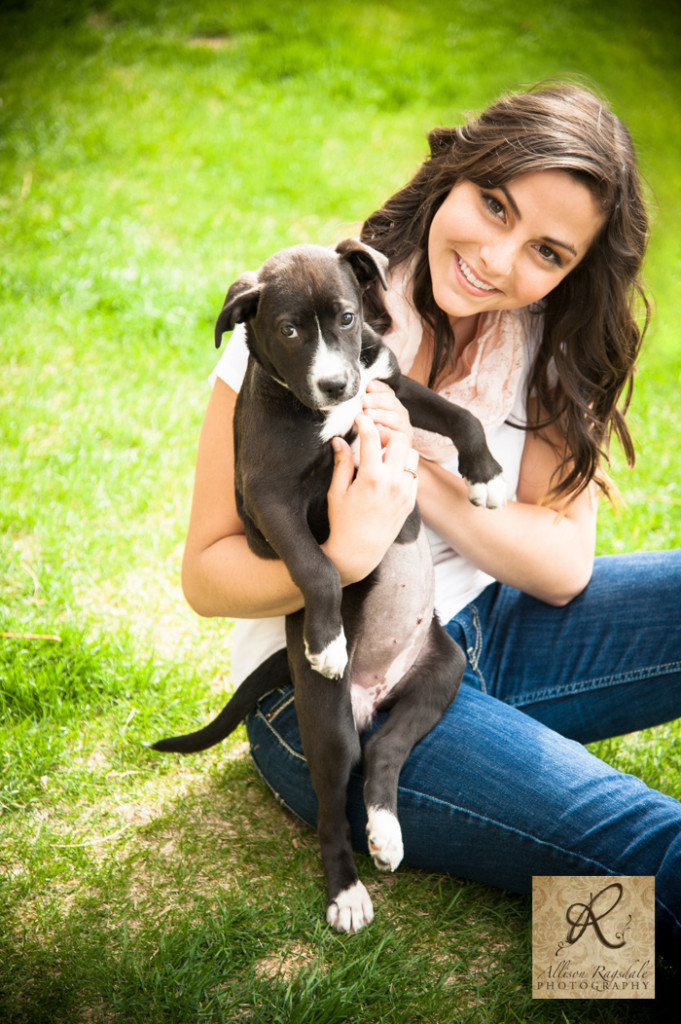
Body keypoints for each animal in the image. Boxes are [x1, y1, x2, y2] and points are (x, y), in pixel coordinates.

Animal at [153, 243, 503, 933]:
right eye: (288, 330)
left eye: (346, 316)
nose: (337, 385)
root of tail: (374, 693)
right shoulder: (271, 498)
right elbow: (318, 567)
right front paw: (328, 639)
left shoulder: (391, 385)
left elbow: (458, 413)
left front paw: (483, 474)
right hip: (328, 720)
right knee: (331, 805)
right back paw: (345, 891)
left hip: (442, 671)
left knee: (386, 751)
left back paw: (387, 832)